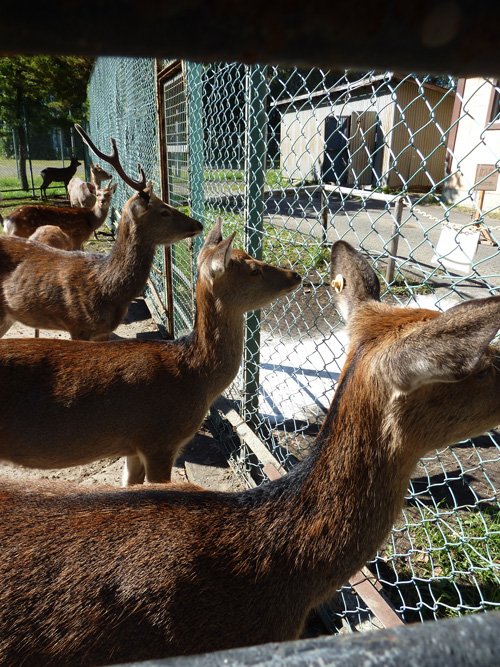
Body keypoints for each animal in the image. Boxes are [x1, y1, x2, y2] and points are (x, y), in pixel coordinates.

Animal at [0, 129, 203, 342]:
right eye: (164, 211)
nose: (199, 224)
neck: (106, 289)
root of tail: (6, 219)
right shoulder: (77, 326)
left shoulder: (103, 332)